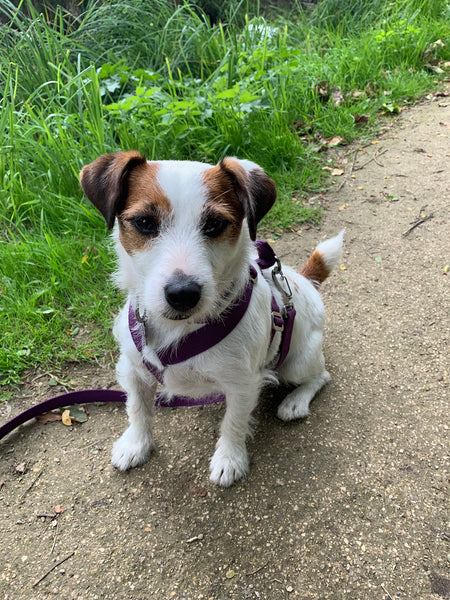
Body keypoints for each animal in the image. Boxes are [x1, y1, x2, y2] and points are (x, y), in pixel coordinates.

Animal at [79, 151, 342, 488]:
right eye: (145, 222)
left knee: (320, 376)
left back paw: (295, 401)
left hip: (296, 362)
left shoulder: (243, 383)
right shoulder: (133, 369)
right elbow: (137, 409)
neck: (181, 329)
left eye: (215, 223)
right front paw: (136, 444)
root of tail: (305, 282)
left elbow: (233, 423)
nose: (182, 293)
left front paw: (229, 459)